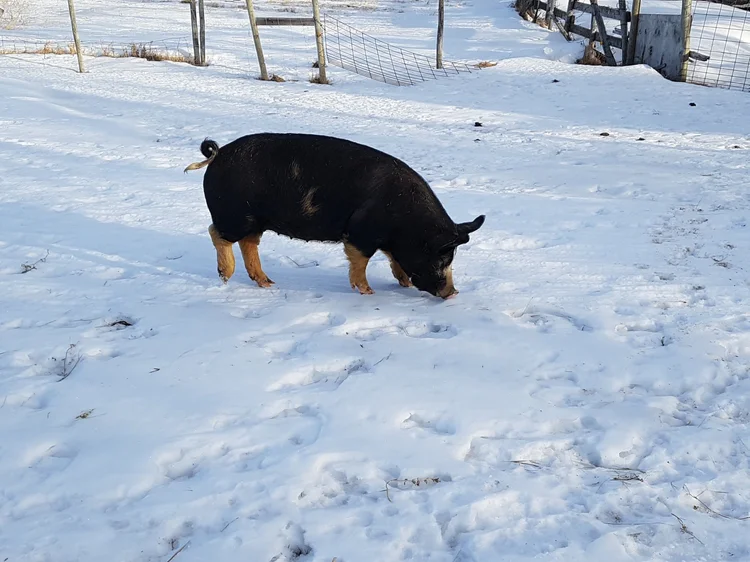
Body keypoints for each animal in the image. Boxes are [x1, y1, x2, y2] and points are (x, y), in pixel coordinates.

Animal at [184, 133, 485, 299]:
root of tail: (218, 154)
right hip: (235, 215)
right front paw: (368, 292)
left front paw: (404, 284)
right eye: (440, 258)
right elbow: (360, 261)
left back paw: (267, 283)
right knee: (217, 233)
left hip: (255, 220)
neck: (407, 224)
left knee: (249, 243)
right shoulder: (361, 232)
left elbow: (393, 259)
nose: (453, 293)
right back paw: (225, 276)